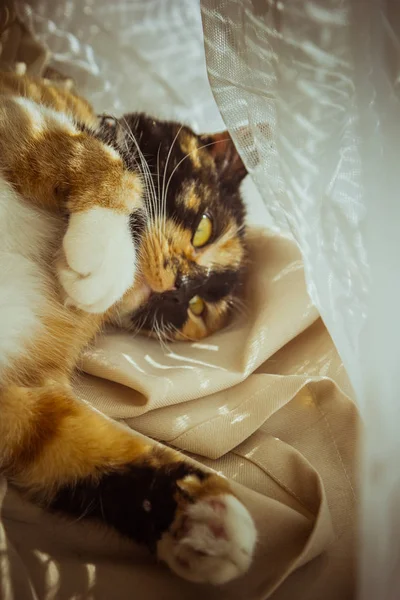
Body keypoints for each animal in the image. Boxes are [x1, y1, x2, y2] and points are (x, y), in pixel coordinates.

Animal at [0, 69, 256, 580]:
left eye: (198, 309)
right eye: (203, 228)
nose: (180, 289)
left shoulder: (22, 392)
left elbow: (71, 442)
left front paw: (203, 518)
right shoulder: (19, 108)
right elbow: (90, 150)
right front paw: (103, 251)